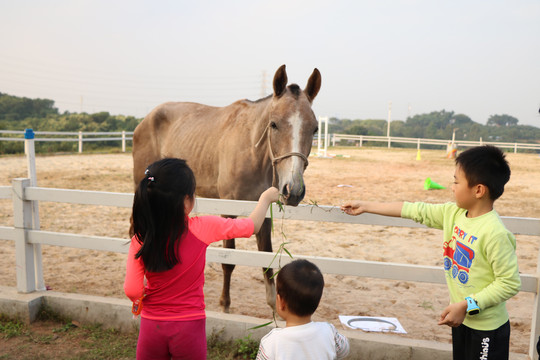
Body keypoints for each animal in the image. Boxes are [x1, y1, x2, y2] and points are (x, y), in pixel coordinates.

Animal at [132, 64, 320, 312]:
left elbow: (266, 262)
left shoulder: (263, 214)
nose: (294, 189)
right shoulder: (228, 210)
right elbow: (228, 261)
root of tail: (145, 120)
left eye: (314, 129)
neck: (252, 150)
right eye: (274, 124)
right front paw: (225, 306)